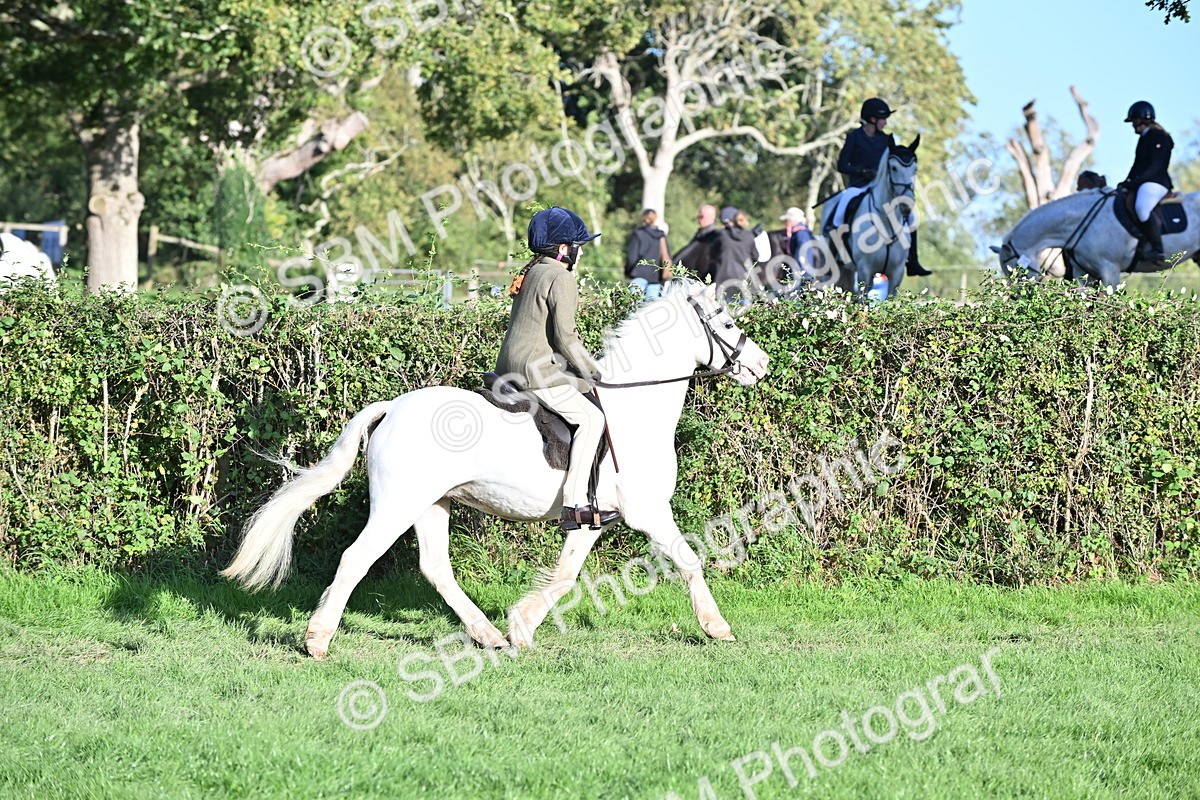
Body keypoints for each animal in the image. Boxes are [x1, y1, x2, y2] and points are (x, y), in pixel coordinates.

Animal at [221, 279, 771, 659]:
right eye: (724, 321)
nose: (761, 366)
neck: (634, 411)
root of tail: (393, 407)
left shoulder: (593, 519)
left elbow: (567, 575)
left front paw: (521, 626)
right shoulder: (648, 510)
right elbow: (689, 560)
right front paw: (717, 627)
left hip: (433, 503)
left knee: (436, 568)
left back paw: (487, 635)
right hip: (399, 504)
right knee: (357, 558)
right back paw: (317, 640)